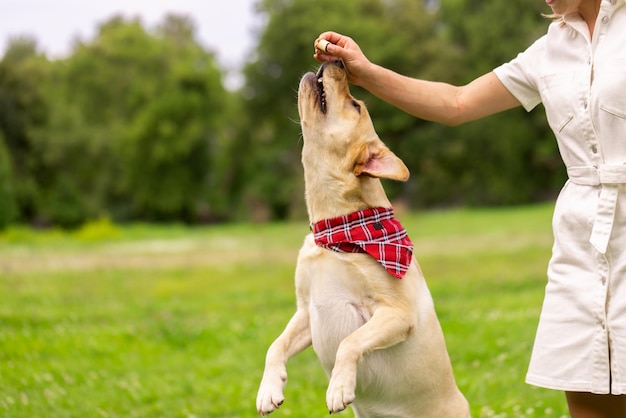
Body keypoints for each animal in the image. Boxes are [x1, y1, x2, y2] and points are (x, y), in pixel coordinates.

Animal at [255, 59, 468, 418]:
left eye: (355, 105)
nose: (337, 61)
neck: (335, 227)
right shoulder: (305, 312)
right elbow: (275, 345)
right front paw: (269, 389)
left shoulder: (396, 313)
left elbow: (349, 342)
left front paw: (339, 388)